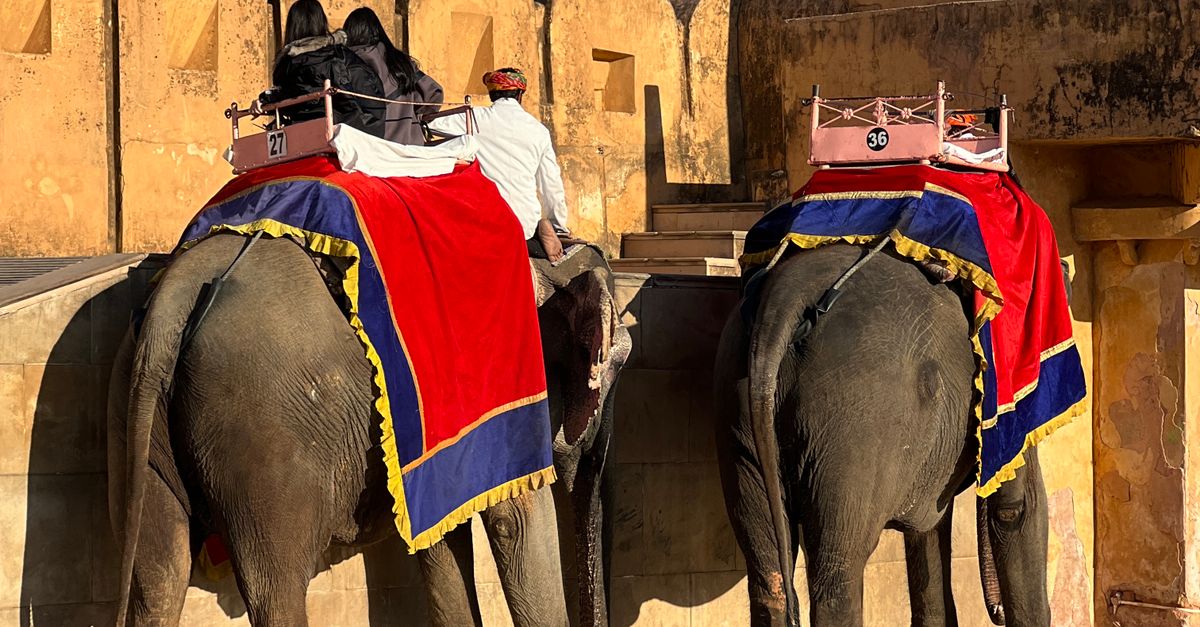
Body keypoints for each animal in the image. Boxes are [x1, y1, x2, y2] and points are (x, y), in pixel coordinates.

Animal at [107, 232, 629, 626]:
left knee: (158, 577)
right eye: (617, 362)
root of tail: (174, 295)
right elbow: (513, 523)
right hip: (261, 432)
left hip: (139, 417)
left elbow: (441, 533)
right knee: (273, 587)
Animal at [715, 243, 1051, 627]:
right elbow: (1016, 508)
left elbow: (928, 530)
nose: (996, 613)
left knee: (767, 570)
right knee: (840, 569)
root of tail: (783, 298)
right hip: (857, 418)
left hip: (736, 405)